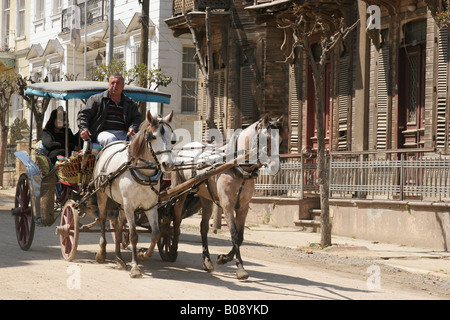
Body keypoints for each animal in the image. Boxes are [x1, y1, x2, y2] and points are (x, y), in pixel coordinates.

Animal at [91, 110, 174, 278]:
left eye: (171, 138)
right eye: (153, 137)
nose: (167, 164)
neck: (143, 171)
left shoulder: (150, 206)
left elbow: (156, 233)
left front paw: (143, 254)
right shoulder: (130, 205)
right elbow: (133, 235)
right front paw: (135, 267)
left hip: (121, 205)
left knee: (117, 227)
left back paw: (119, 259)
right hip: (102, 195)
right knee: (102, 220)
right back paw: (102, 253)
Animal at [171, 115, 286, 280]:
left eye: (281, 140)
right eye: (267, 139)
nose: (275, 166)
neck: (238, 167)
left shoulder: (243, 206)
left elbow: (241, 236)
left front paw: (223, 258)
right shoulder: (227, 204)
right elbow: (234, 233)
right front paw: (240, 268)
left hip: (206, 198)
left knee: (203, 227)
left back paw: (207, 261)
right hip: (180, 192)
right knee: (177, 218)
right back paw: (172, 249)